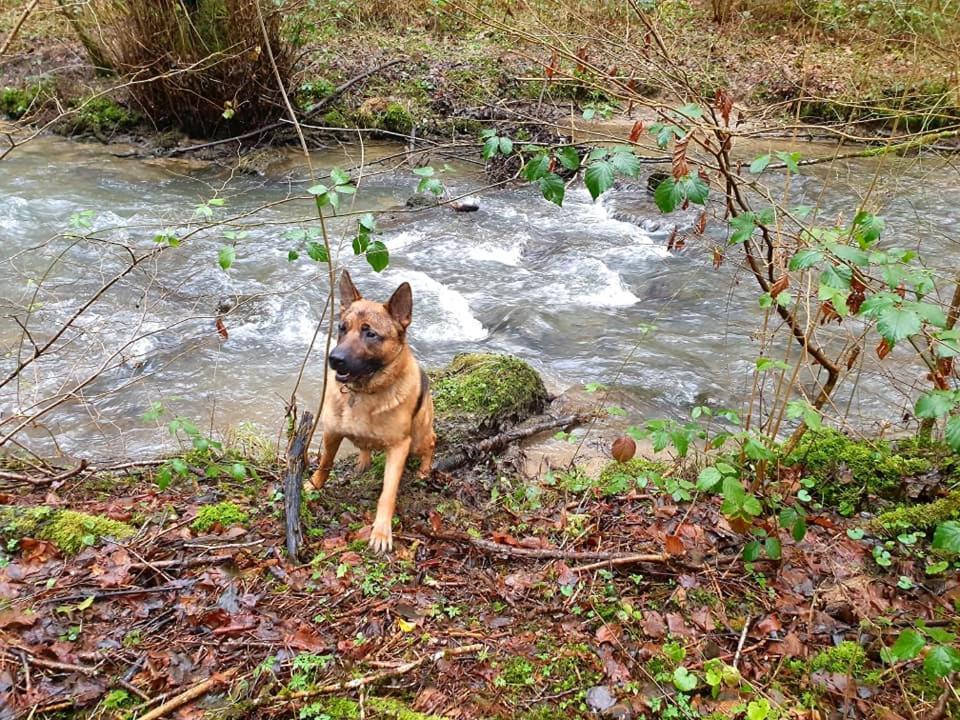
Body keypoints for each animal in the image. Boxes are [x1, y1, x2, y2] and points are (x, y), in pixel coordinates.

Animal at [308, 268, 436, 556]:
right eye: (342, 328)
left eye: (371, 334)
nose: (334, 359)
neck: (363, 393)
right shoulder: (332, 432)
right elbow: (325, 463)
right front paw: (312, 485)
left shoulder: (399, 447)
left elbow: (387, 494)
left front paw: (381, 531)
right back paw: (363, 460)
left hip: (419, 437)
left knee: (432, 443)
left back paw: (424, 470)